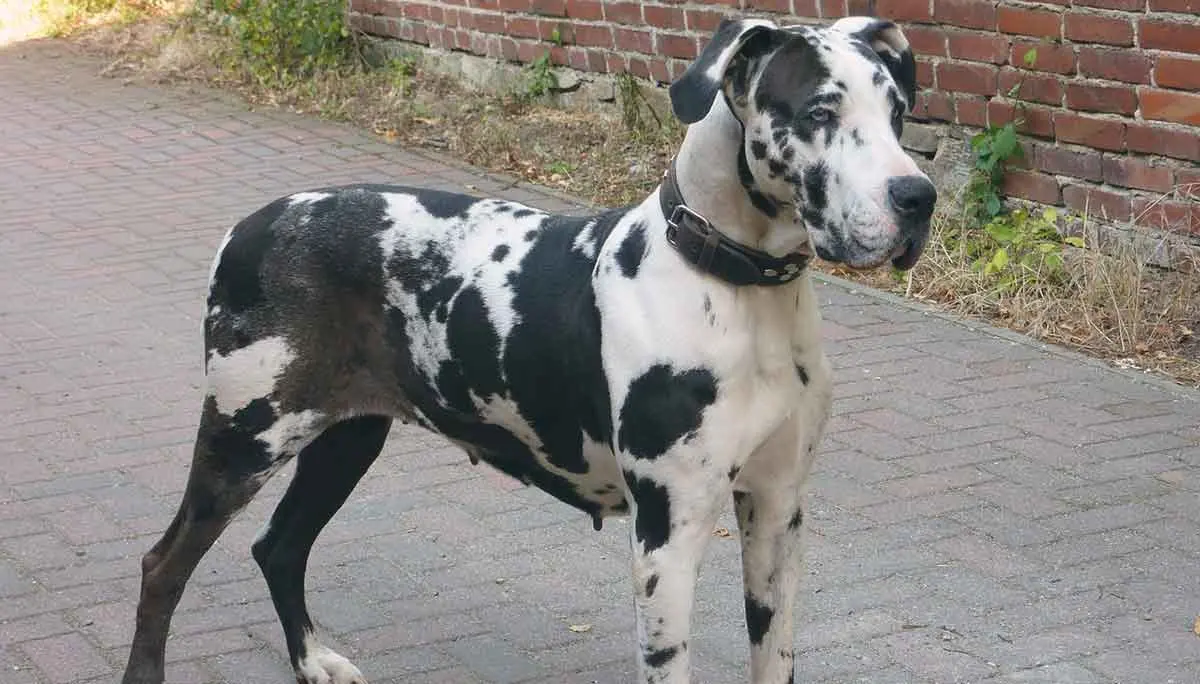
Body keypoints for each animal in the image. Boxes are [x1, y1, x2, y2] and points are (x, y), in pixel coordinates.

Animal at [121, 15, 931, 681]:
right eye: (820, 111)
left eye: (897, 113)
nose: (917, 197)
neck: (738, 286)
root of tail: (252, 224)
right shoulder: (669, 533)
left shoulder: (776, 511)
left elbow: (775, 654)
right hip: (243, 442)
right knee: (163, 566)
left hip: (345, 439)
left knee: (280, 547)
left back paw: (313, 659)